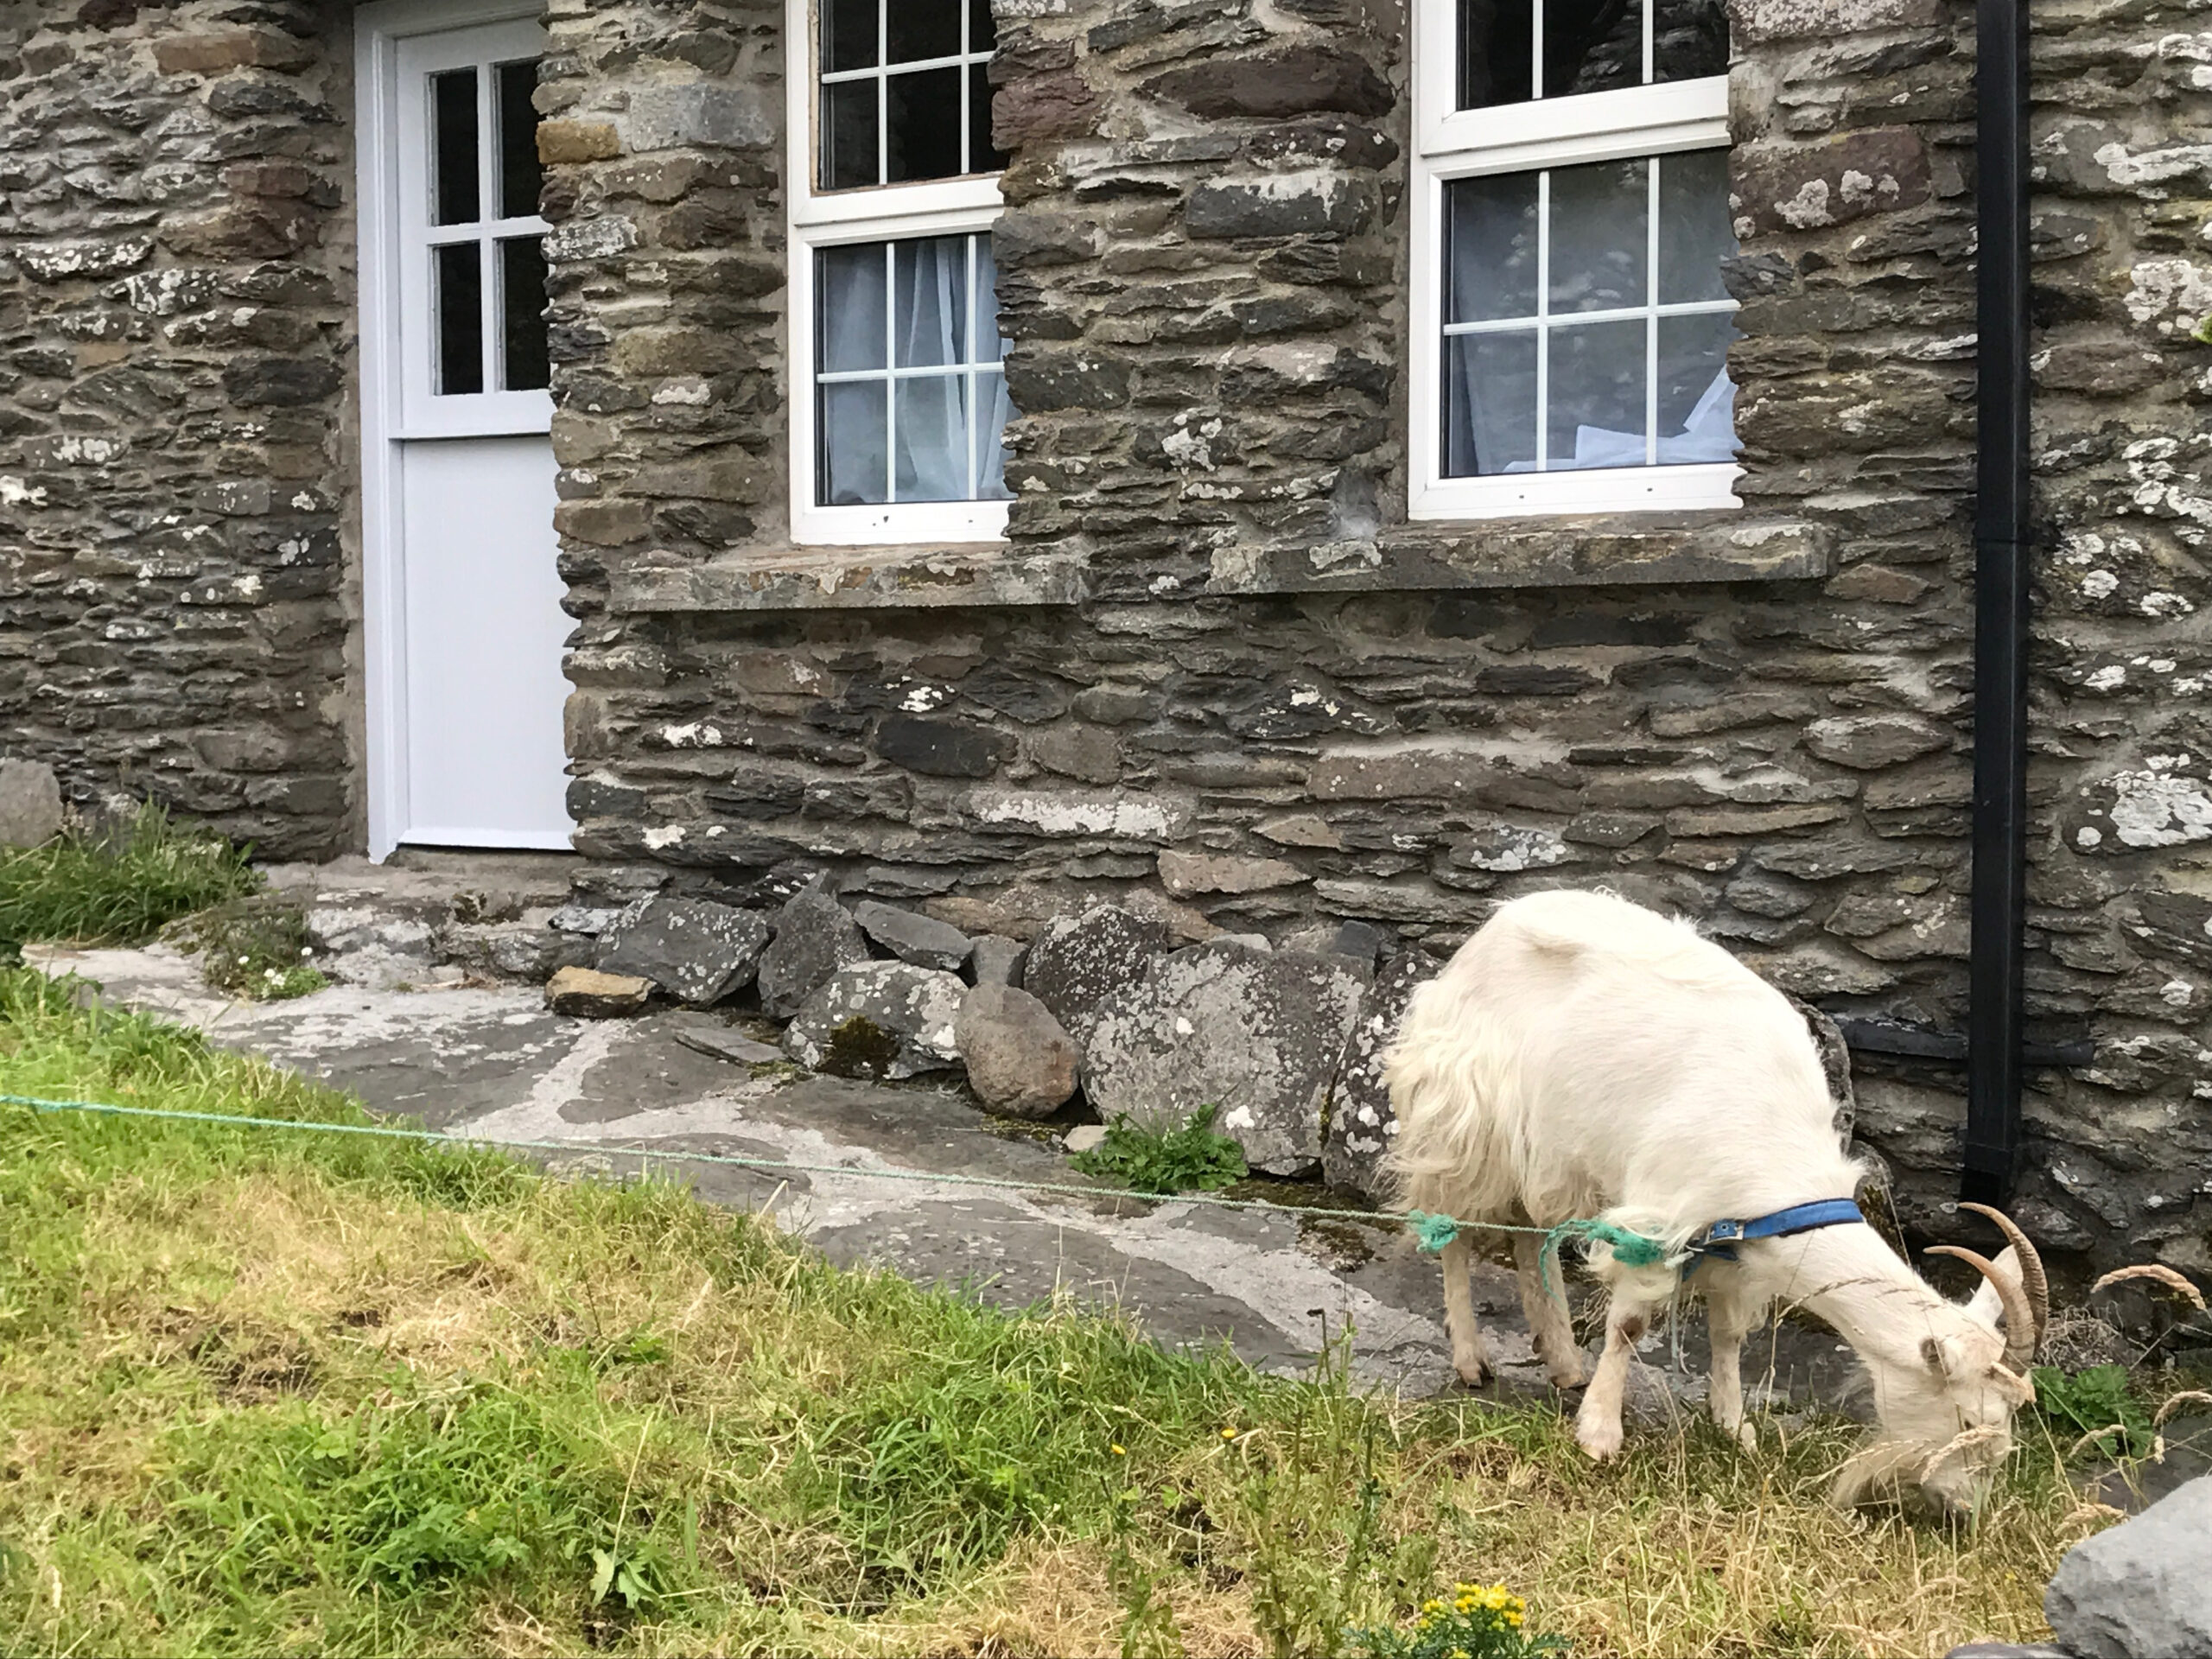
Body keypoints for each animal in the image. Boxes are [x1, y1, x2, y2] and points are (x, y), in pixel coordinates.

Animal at [1389, 898, 2044, 1522]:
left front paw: (1732, 1425)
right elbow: (1628, 1326)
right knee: (1452, 1231)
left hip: (1548, 1151)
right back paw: (1472, 1360)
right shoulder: (1659, 1218)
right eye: (1965, 1419)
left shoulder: (1737, 1239)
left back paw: (1564, 1359)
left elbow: (1728, 1333)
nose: (1962, 1512)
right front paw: (1600, 1434)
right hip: (1463, 1118)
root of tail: (1487, 932)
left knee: (1529, 1232)